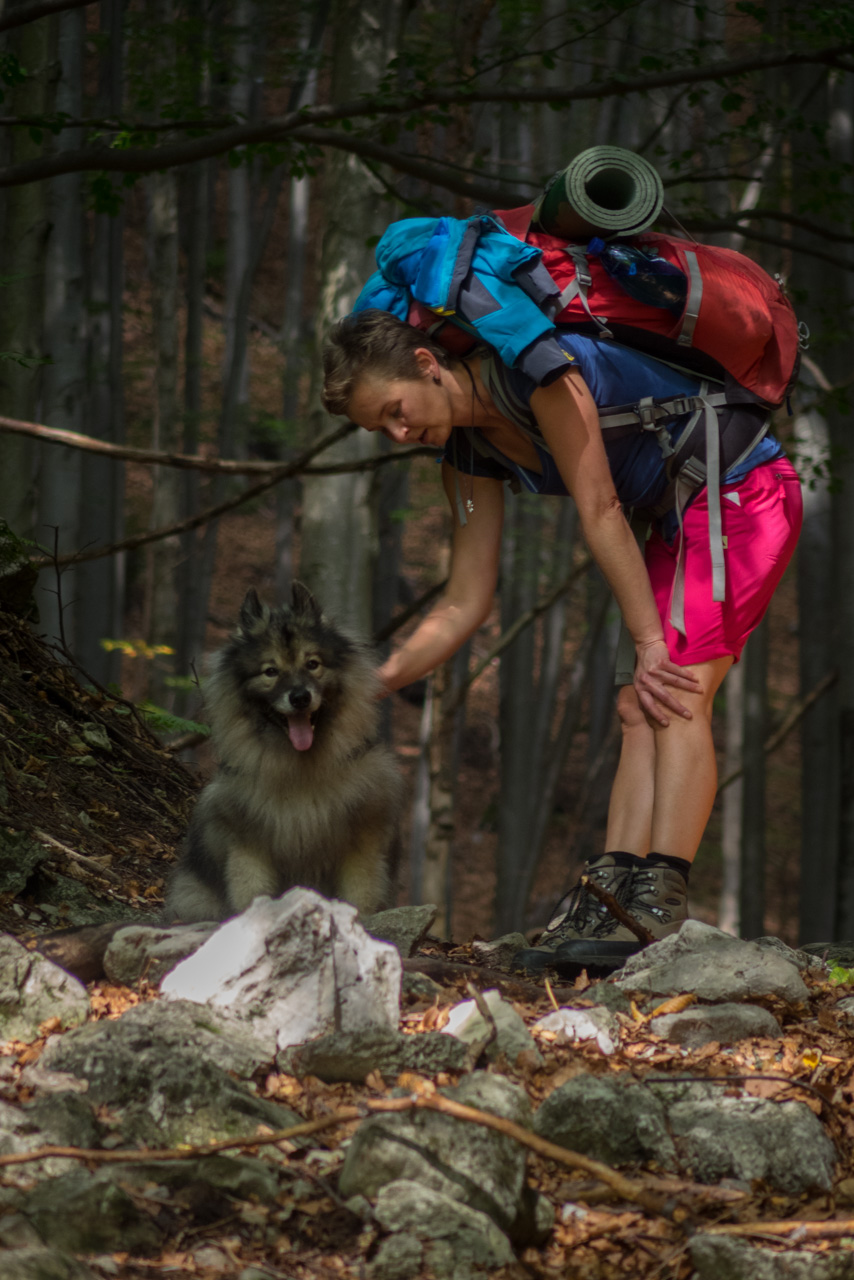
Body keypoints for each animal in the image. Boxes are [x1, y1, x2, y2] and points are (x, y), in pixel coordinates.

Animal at [166, 586, 407, 926]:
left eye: (313, 664)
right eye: (270, 672)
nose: (300, 697)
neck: (300, 770)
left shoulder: (362, 842)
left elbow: (361, 894)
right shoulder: (248, 846)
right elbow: (251, 893)